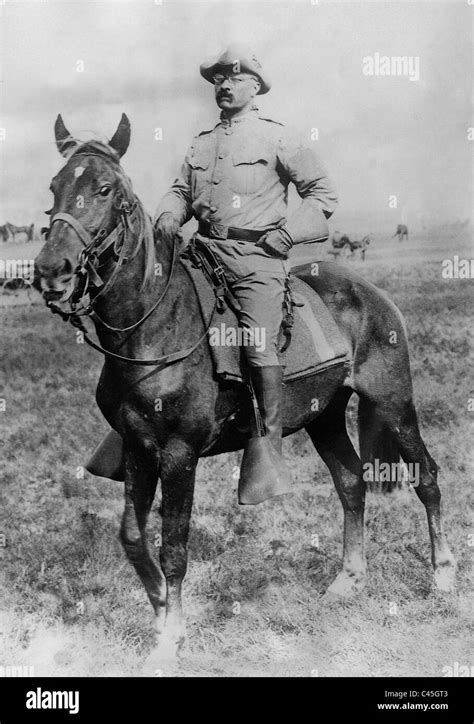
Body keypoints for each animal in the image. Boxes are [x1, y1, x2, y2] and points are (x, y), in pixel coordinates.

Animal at [35, 114, 458, 660]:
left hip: (393, 403)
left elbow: (175, 549)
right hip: (325, 416)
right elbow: (132, 536)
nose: (51, 271)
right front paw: (161, 614)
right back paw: (348, 581)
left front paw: (171, 638)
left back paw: (443, 575)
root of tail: (373, 294)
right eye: (55, 186)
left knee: (426, 477)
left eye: (105, 189)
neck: (155, 325)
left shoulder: (179, 453)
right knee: (350, 484)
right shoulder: (136, 447)